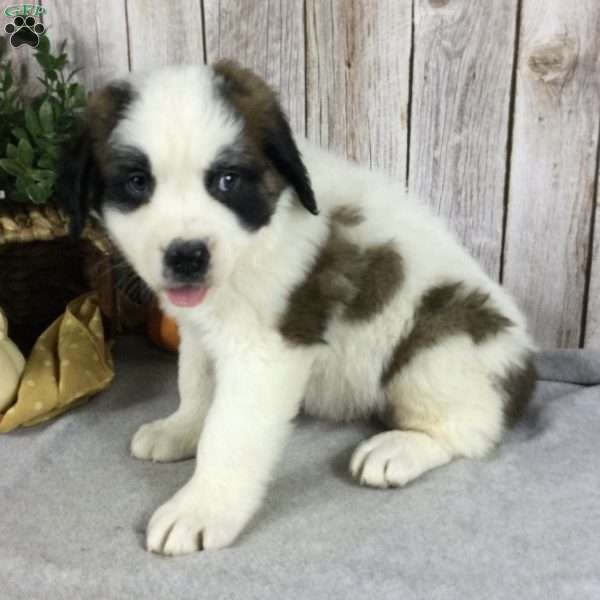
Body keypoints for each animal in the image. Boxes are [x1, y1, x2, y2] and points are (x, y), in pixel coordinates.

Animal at [58, 62, 536, 556]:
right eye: (138, 182)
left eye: (227, 180)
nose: (187, 255)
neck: (254, 243)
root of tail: (525, 370)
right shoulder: (199, 332)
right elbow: (195, 383)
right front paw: (182, 428)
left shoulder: (265, 353)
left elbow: (229, 433)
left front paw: (202, 508)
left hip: (440, 346)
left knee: (473, 427)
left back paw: (400, 448)